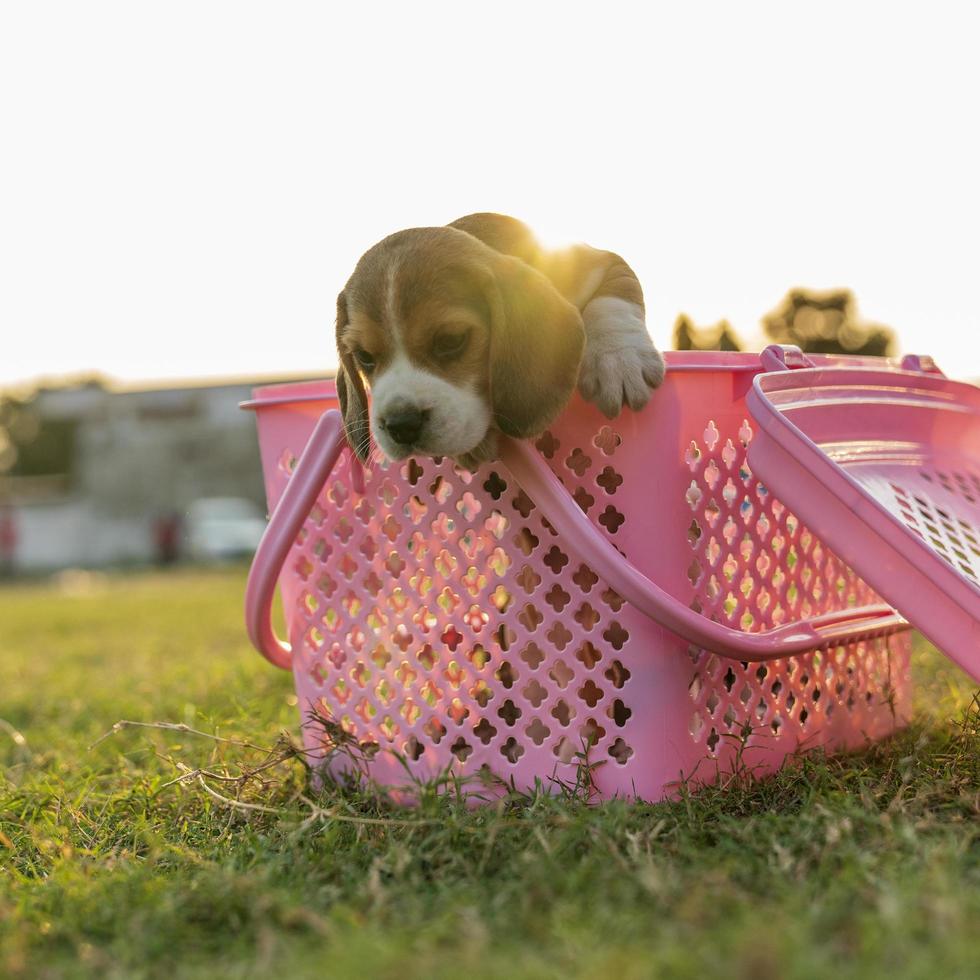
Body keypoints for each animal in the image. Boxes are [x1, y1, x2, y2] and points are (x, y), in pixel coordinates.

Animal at [336, 213, 668, 470]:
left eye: (451, 340)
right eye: (364, 356)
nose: (401, 425)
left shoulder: (599, 262)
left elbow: (611, 300)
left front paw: (619, 359)